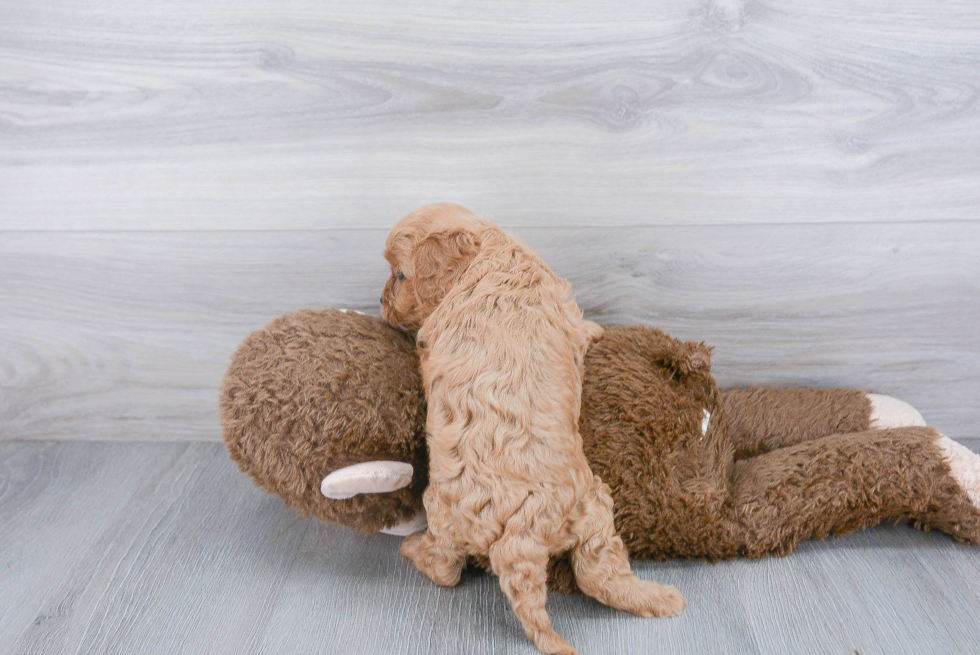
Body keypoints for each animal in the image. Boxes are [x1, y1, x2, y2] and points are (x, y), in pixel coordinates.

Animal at [378, 205, 684, 655]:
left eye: (399, 275)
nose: (379, 302)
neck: (491, 255)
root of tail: (525, 530)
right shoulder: (565, 311)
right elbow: (582, 329)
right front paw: (598, 330)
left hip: (447, 511)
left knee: (446, 568)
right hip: (594, 508)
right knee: (599, 573)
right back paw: (661, 597)